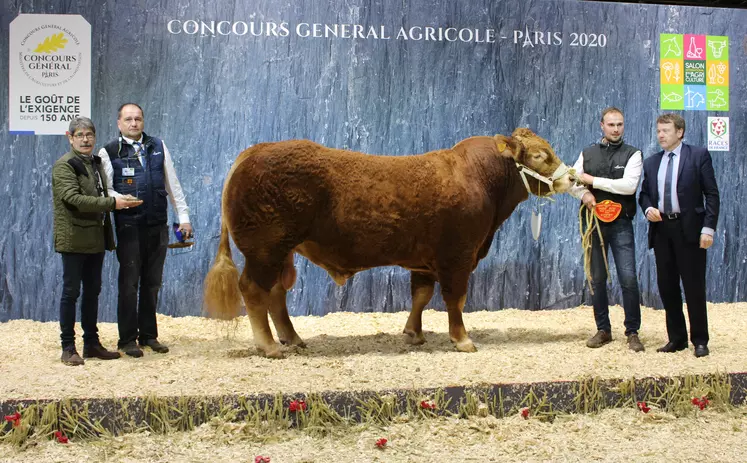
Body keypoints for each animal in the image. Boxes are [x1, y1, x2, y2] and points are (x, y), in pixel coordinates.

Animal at [203, 128, 572, 358]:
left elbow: (421, 295)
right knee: (254, 290)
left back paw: (292, 338)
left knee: (277, 293)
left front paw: (414, 334)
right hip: (265, 249)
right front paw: (463, 340)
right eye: (541, 155)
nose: (570, 177)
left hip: (282, 252)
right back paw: (270, 347)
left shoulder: (425, 259)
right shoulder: (458, 255)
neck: (481, 178)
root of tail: (256, 149)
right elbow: (455, 299)